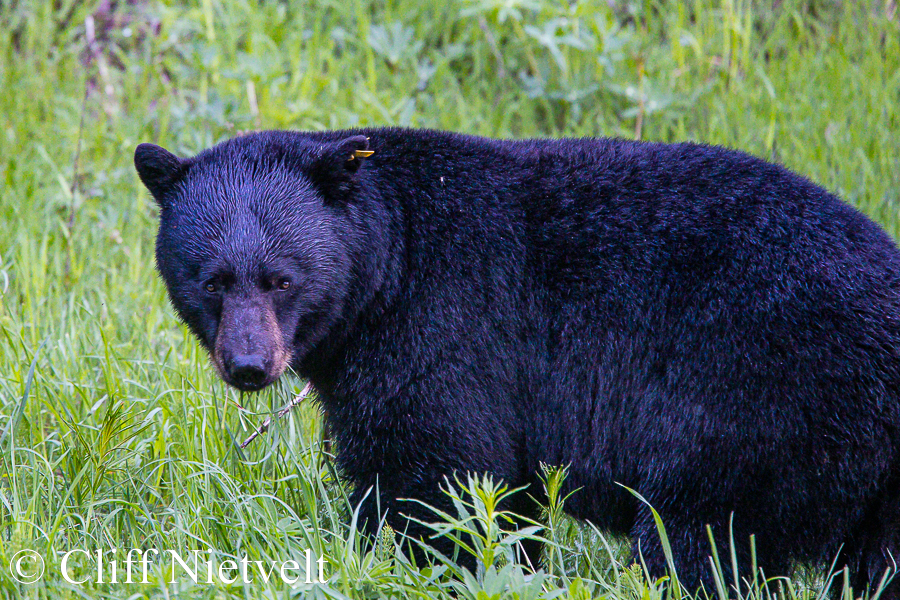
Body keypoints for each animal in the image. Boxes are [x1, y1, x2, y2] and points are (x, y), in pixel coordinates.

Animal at [137, 127, 900, 596]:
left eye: (281, 279)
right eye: (212, 281)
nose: (248, 364)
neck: (392, 264)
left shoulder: (445, 332)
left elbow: (436, 479)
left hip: (756, 404)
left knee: (700, 539)